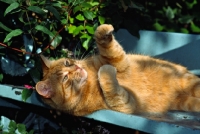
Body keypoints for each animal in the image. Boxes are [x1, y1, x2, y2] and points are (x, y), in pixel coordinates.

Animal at [35, 24, 200, 116]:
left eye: (67, 62)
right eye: (65, 79)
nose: (76, 66)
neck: (90, 81)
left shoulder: (118, 61)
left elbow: (107, 47)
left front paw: (103, 29)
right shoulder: (126, 104)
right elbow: (110, 84)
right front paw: (105, 72)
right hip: (186, 102)